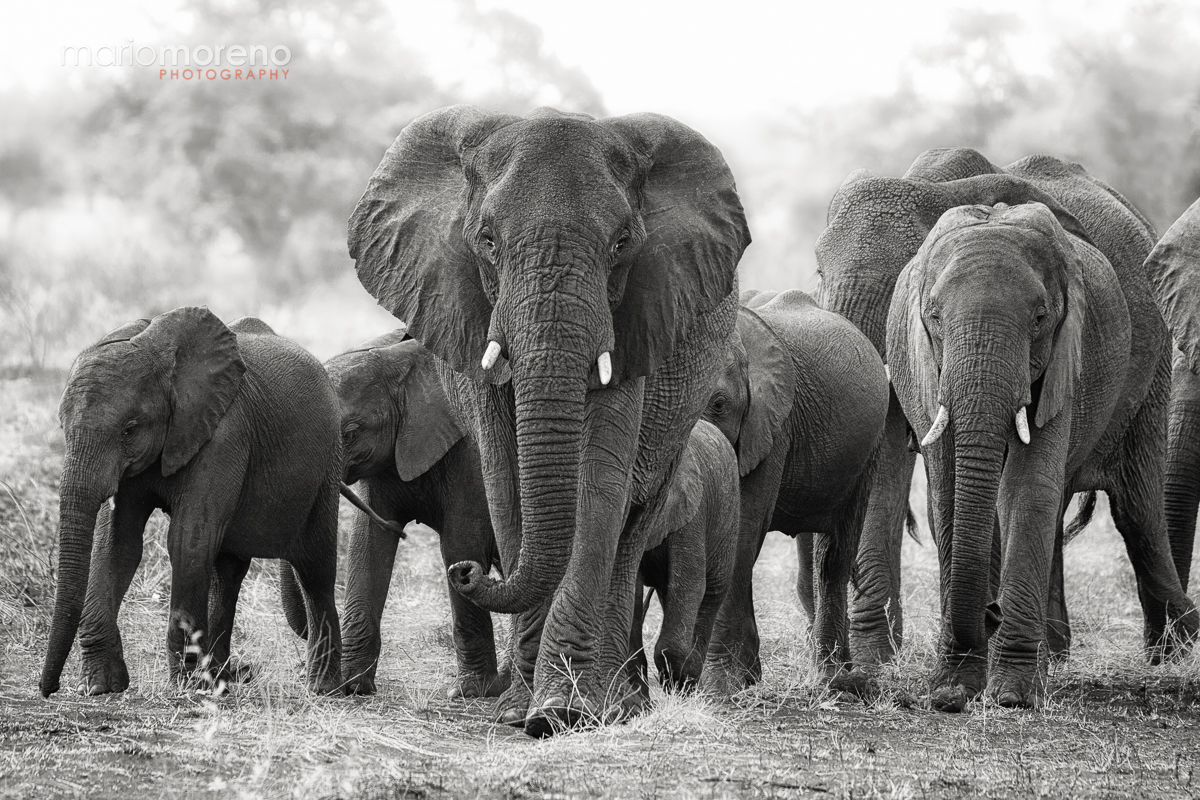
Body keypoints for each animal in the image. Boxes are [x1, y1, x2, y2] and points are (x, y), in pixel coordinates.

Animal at [40, 309, 359, 697]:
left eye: (129, 429)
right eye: (62, 428)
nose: (48, 689)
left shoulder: (225, 434)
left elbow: (188, 540)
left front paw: (186, 686)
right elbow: (117, 544)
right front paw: (102, 686)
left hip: (327, 467)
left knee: (315, 570)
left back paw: (323, 688)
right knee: (228, 572)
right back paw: (222, 678)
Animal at [324, 329, 506, 700]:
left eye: (351, 433)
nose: (406, 533)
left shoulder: (471, 453)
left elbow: (461, 544)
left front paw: (472, 693)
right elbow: (369, 543)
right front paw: (351, 686)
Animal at [630, 418, 739, 694]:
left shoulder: (693, 512)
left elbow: (689, 584)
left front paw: (680, 682)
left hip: (729, 515)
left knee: (712, 591)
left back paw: (692, 675)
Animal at [698, 289, 889, 692]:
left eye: (719, 405)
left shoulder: (772, 427)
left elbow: (741, 532)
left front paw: (718, 686)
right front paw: (744, 679)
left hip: (867, 452)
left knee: (833, 558)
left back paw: (835, 678)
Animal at [887, 188, 1198, 711]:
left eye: (1039, 319)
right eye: (933, 316)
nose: (990, 612)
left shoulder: (1066, 358)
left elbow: (1026, 487)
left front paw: (1012, 696)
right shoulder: (924, 365)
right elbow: (949, 492)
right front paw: (952, 691)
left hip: (1152, 370)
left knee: (1136, 510)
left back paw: (1173, 654)